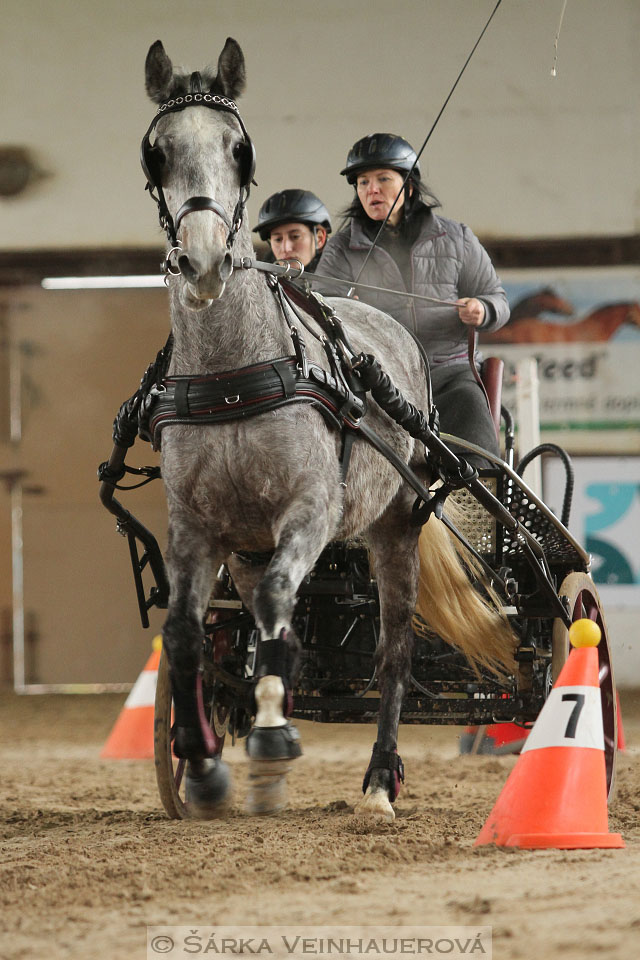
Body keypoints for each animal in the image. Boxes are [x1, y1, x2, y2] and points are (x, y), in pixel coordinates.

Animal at [145, 41, 516, 820]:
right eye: (157, 153)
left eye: (240, 150)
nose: (202, 261)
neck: (235, 373)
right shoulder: (196, 526)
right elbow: (190, 632)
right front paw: (201, 763)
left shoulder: (313, 512)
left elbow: (279, 604)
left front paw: (272, 737)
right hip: (253, 548)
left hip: (395, 529)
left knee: (392, 652)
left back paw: (379, 779)